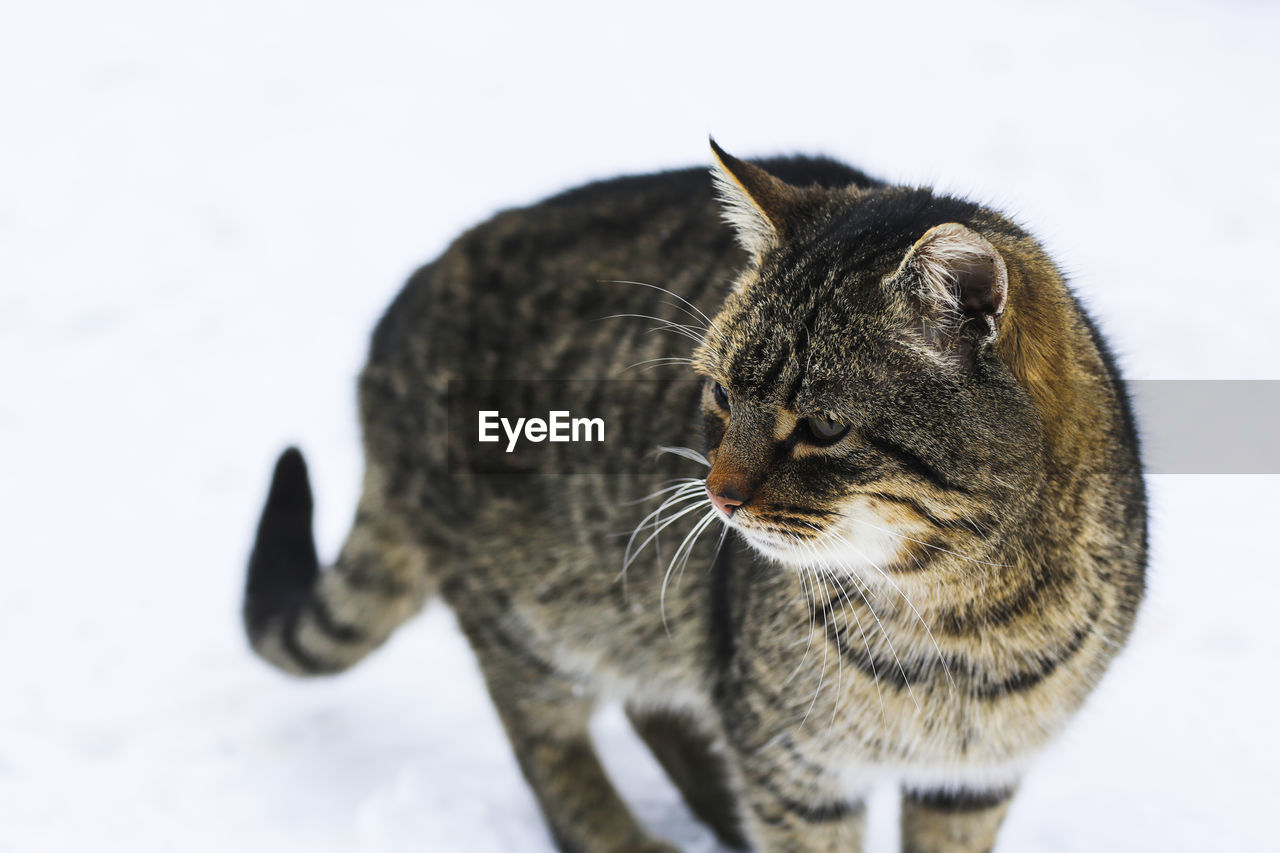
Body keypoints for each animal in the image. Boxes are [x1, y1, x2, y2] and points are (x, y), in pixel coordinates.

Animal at [244, 140, 1146, 850]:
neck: (960, 622)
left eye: (823, 424)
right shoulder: (794, 771)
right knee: (547, 739)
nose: (720, 493)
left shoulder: (975, 778)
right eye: (718, 394)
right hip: (529, 618)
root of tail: (393, 318)